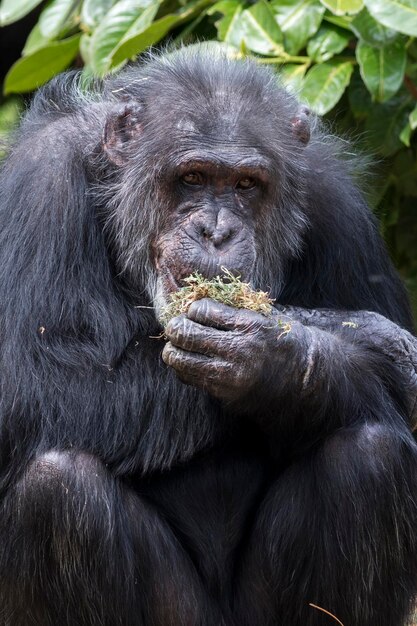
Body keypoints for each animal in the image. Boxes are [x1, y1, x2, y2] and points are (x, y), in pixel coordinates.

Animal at [0, 45, 416, 624]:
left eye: (245, 186)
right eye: (193, 178)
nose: (216, 230)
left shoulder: (342, 207)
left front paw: (280, 359)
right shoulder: (38, 184)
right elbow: (26, 382)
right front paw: (374, 352)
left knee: (370, 457)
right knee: (57, 490)